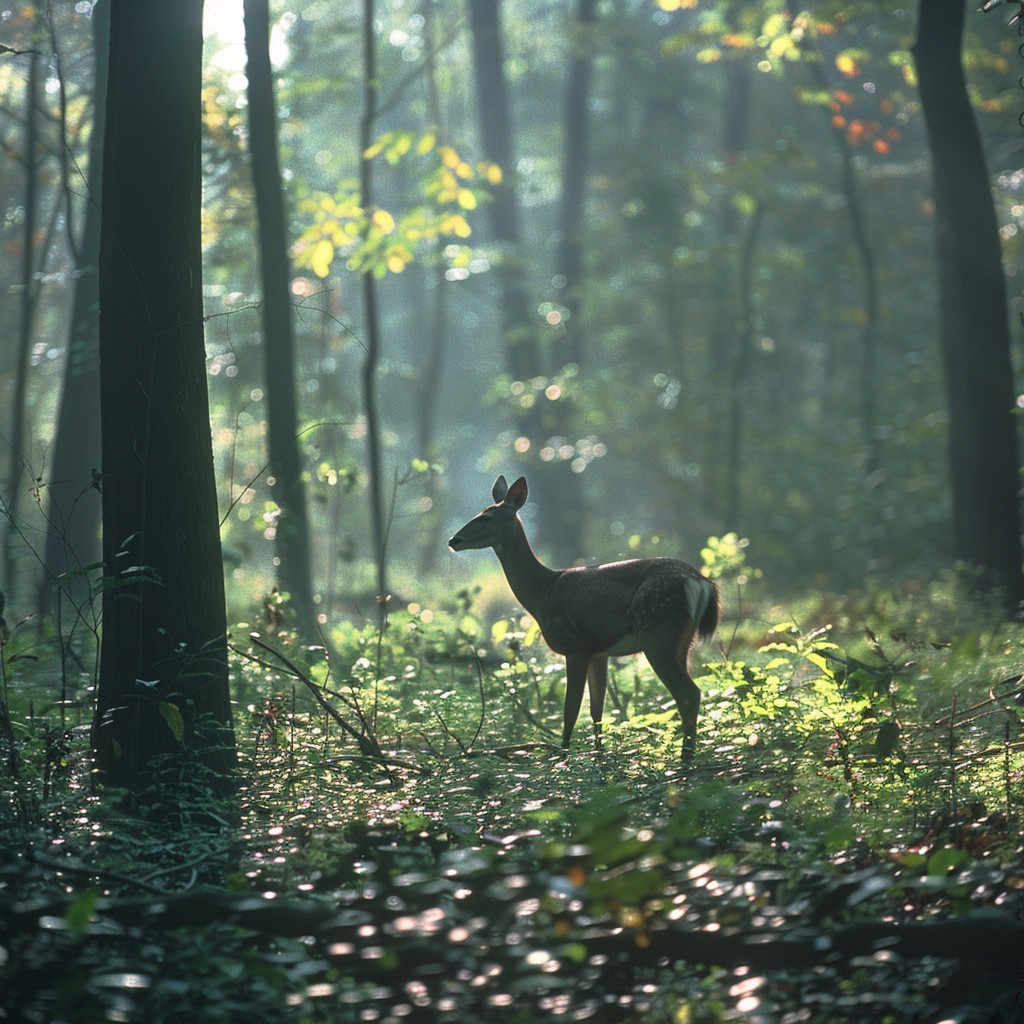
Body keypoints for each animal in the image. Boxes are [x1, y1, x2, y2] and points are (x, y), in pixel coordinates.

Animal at [448, 475, 719, 761]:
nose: (454, 540)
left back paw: (685, 759)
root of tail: (703, 583)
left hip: (658, 631)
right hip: (680, 640)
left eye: (486, 517)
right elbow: (597, 711)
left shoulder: (574, 647)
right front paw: (597, 757)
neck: (542, 592)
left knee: (688, 694)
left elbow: (570, 713)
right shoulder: (598, 652)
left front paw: (563, 758)